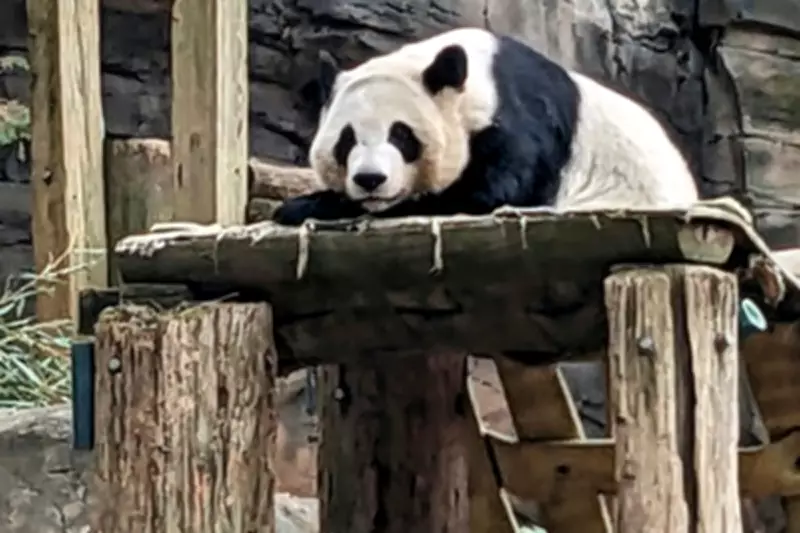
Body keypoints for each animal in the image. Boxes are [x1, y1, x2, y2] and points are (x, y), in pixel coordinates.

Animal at [273, 27, 699, 226]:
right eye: (346, 141)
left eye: (401, 135)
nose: (370, 180)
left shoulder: (519, 123)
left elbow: (483, 194)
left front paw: (305, 205)